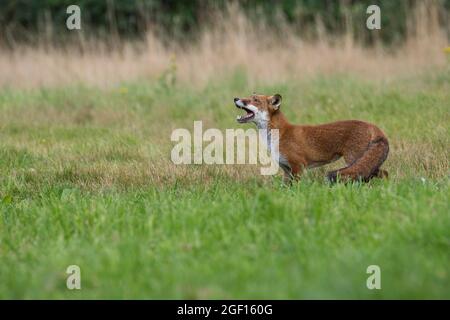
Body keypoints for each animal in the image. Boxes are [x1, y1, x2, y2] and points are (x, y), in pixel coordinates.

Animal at [234, 93, 388, 182]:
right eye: (248, 97)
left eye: (254, 100)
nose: (235, 98)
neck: (279, 135)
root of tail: (372, 125)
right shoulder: (286, 169)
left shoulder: (298, 165)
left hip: (354, 159)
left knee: (383, 173)